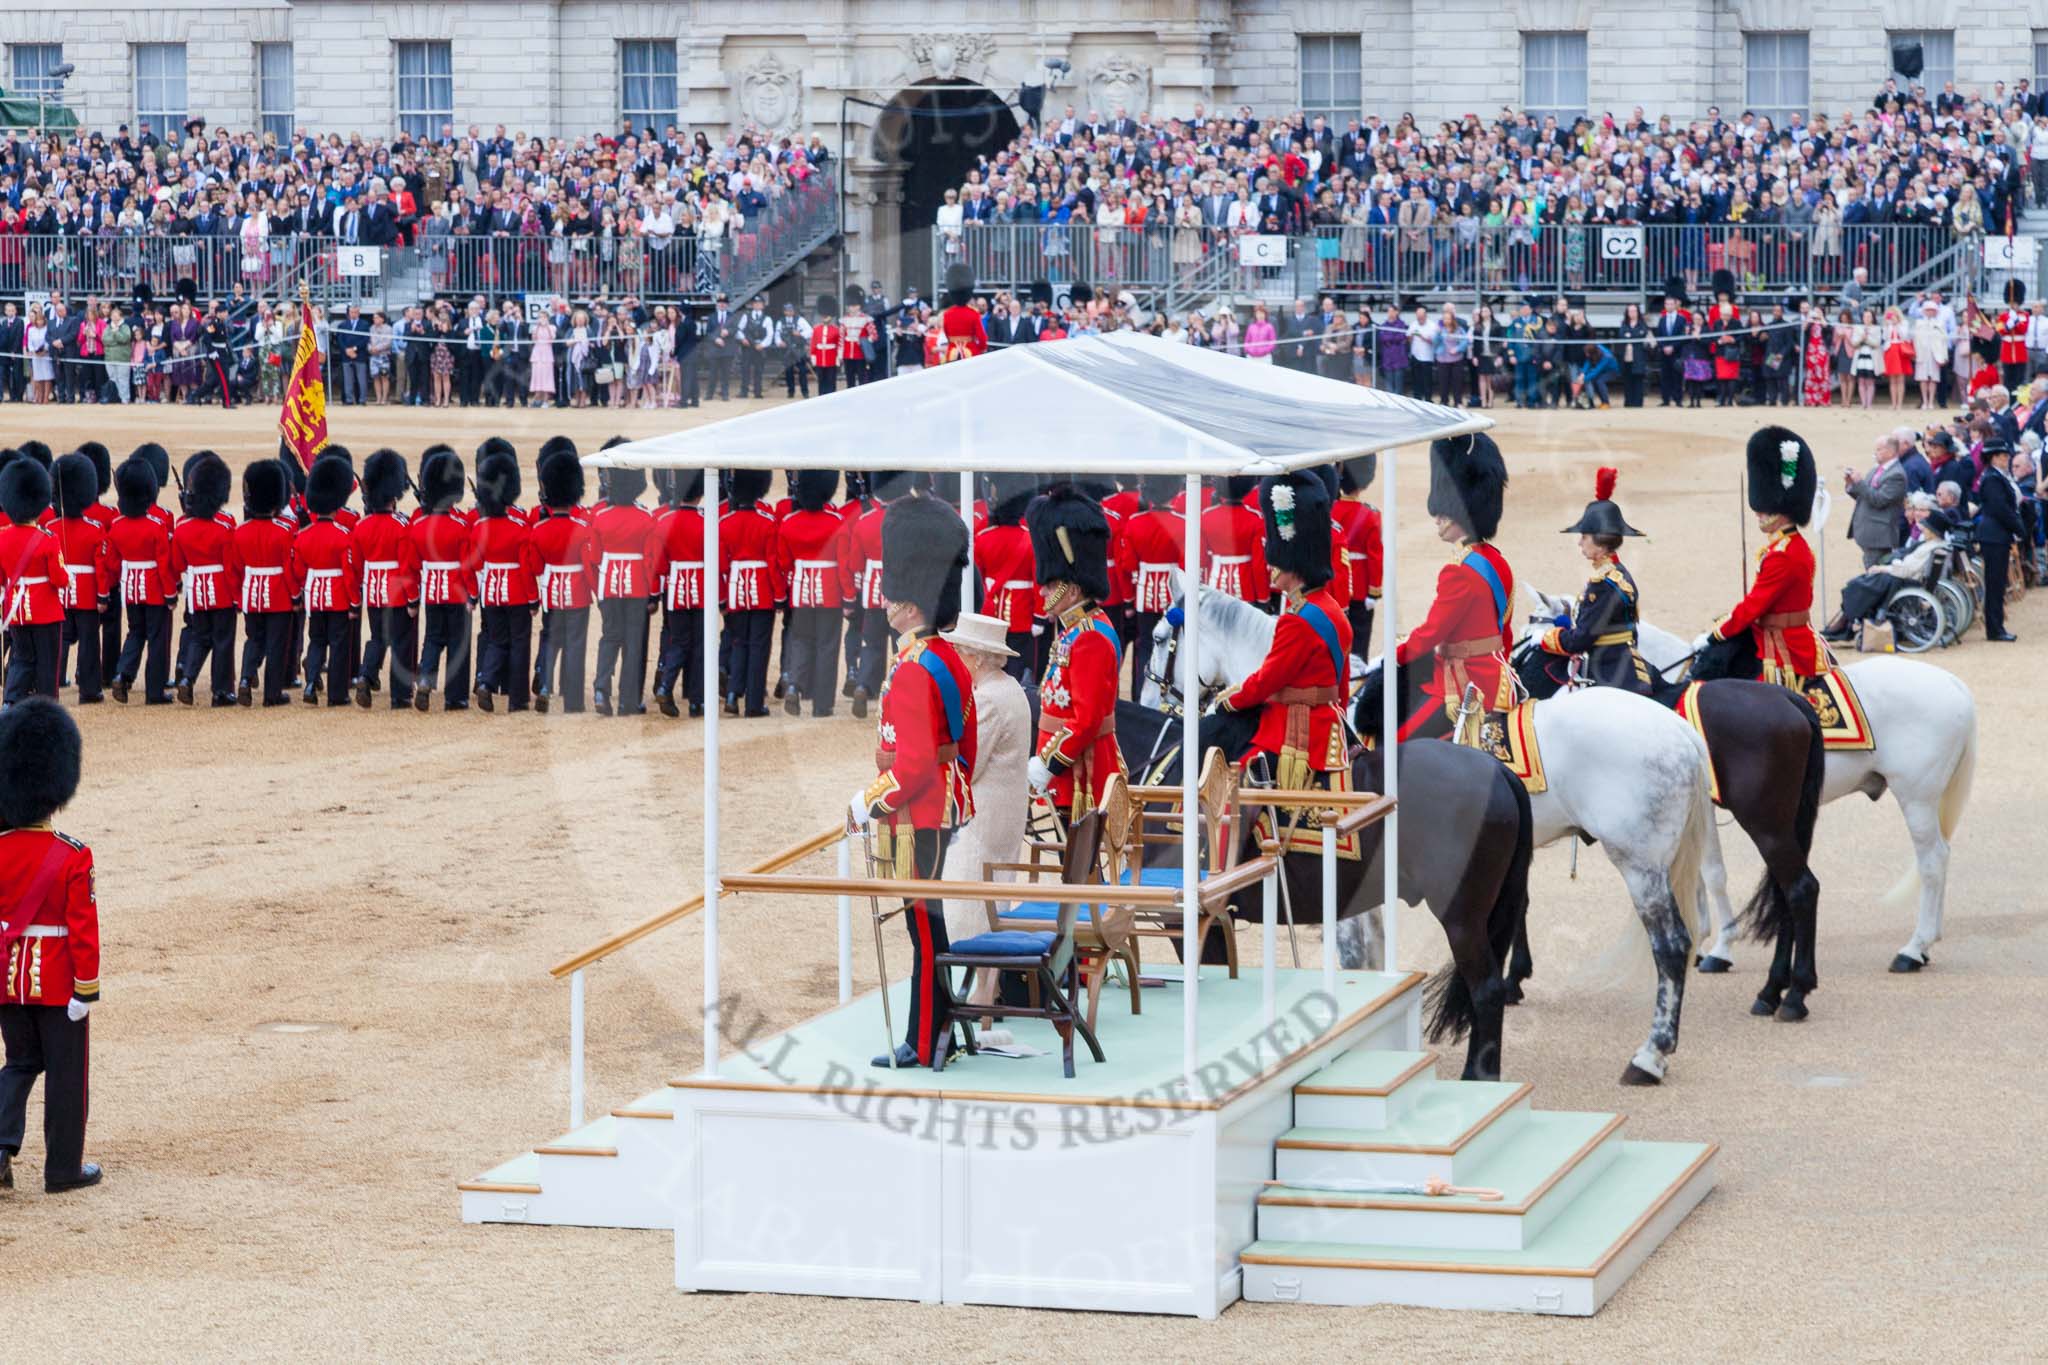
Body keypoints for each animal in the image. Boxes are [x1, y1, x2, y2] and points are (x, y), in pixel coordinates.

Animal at [1155, 581, 1712, 1088]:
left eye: (1160, 637)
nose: (1161, 702)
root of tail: (1678, 731)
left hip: (1638, 863)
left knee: (1670, 946)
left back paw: (1650, 1054)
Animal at [1507, 646, 1826, 1019]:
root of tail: (1789, 697)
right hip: (1783, 824)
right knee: (1785, 894)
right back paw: (1773, 989)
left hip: (1766, 825)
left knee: (1800, 890)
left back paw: (1794, 994)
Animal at [1531, 585, 1974, 970]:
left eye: (1533, 645)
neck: (1657, 699)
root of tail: (1954, 684)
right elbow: (1700, 872)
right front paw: (1702, 939)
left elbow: (1712, 873)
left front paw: (1719, 947)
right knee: (1942, 855)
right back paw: (1925, 944)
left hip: (1915, 796)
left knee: (1931, 860)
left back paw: (1913, 948)